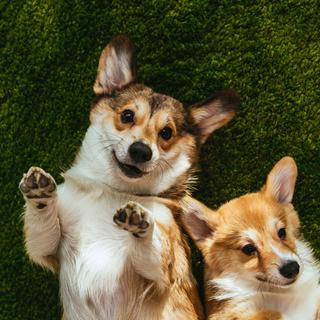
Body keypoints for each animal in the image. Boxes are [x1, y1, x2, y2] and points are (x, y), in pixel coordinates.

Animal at [16, 35, 238, 320]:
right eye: (127, 116)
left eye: (166, 133)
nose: (141, 150)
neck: (114, 191)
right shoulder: (48, 247)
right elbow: (42, 227)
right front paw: (39, 193)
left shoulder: (160, 270)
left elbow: (149, 250)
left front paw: (140, 222)